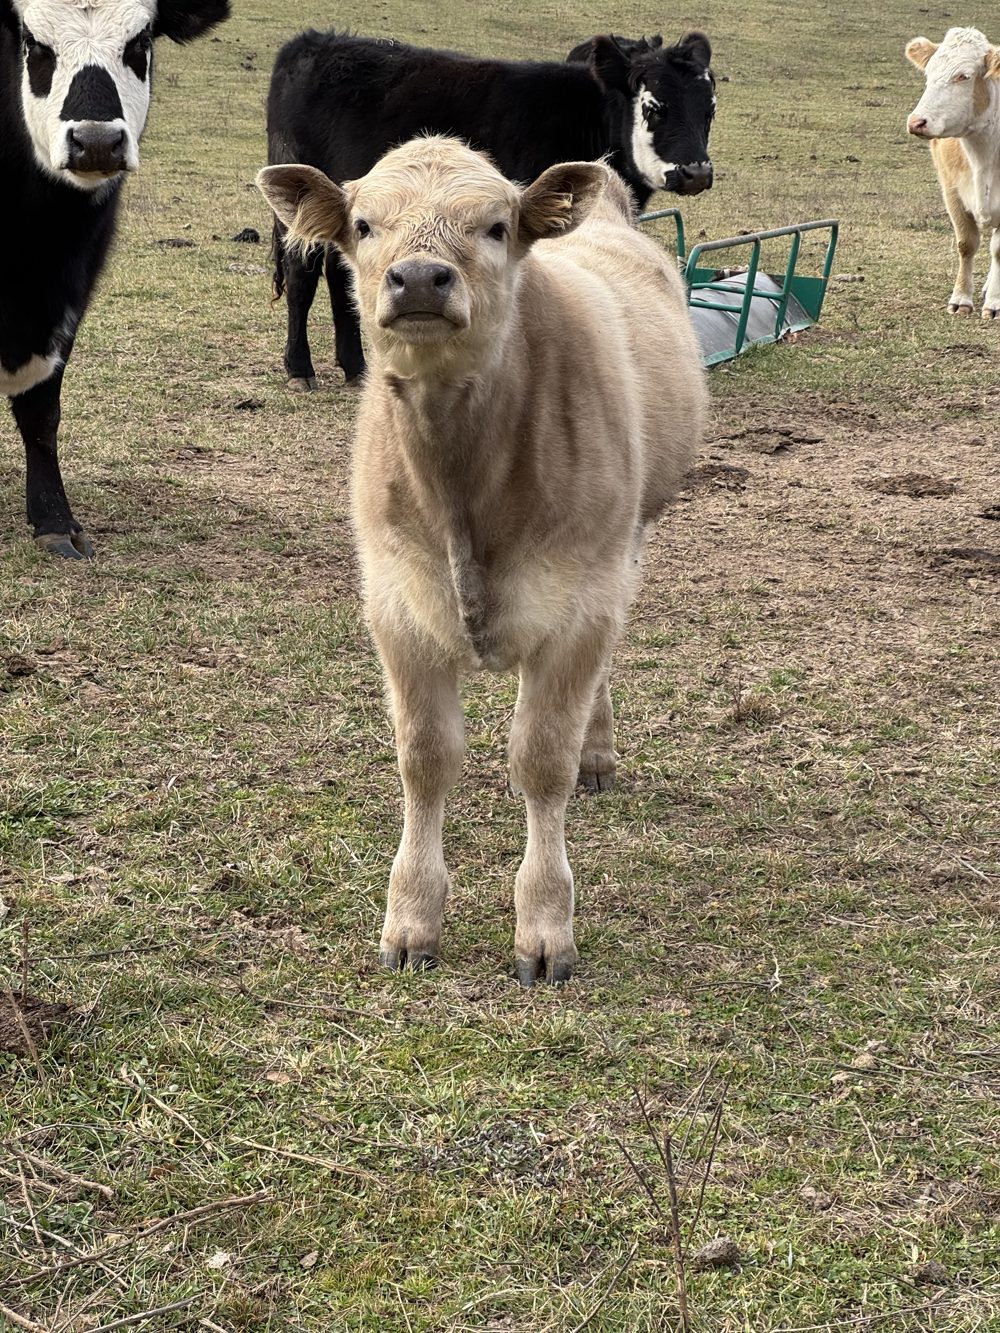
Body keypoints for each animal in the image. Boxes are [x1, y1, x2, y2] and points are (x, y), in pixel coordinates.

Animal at [0, 0, 230, 559]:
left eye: (140, 42)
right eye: (34, 44)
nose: (97, 142)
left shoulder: (70, 299)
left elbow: (41, 413)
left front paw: (54, 520)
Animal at [257, 136, 706, 985]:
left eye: (495, 226)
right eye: (364, 225)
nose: (420, 279)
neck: (461, 481)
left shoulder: (579, 605)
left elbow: (542, 759)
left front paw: (545, 927)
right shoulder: (397, 605)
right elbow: (426, 757)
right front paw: (411, 918)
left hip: (628, 545)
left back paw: (598, 749)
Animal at [265, 29, 716, 390]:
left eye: (709, 108)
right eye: (654, 107)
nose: (695, 172)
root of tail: (313, 43)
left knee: (339, 276)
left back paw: (355, 368)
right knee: (302, 278)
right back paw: (300, 369)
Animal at [906, 27, 1000, 318]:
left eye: (963, 76)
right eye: (928, 73)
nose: (917, 122)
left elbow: (998, 250)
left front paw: (994, 303)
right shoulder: (952, 192)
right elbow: (966, 244)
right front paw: (961, 299)